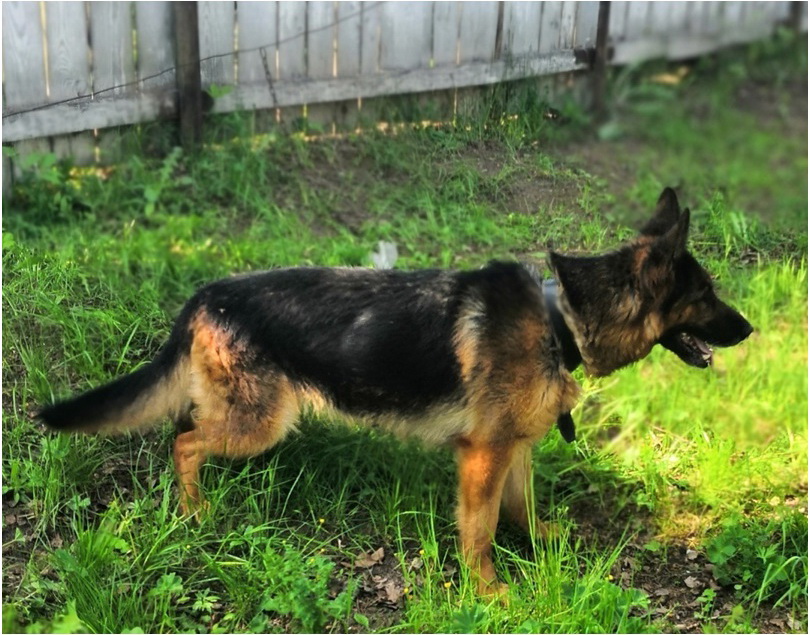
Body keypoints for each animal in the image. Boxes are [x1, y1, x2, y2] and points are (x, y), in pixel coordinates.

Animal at [39, 188, 752, 596]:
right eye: (706, 295)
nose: (751, 330)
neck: (562, 318)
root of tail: (203, 295)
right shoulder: (482, 457)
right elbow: (480, 531)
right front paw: (489, 593)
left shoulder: (513, 446)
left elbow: (521, 508)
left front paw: (544, 541)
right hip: (260, 423)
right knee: (185, 442)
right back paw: (194, 513)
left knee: (184, 426)